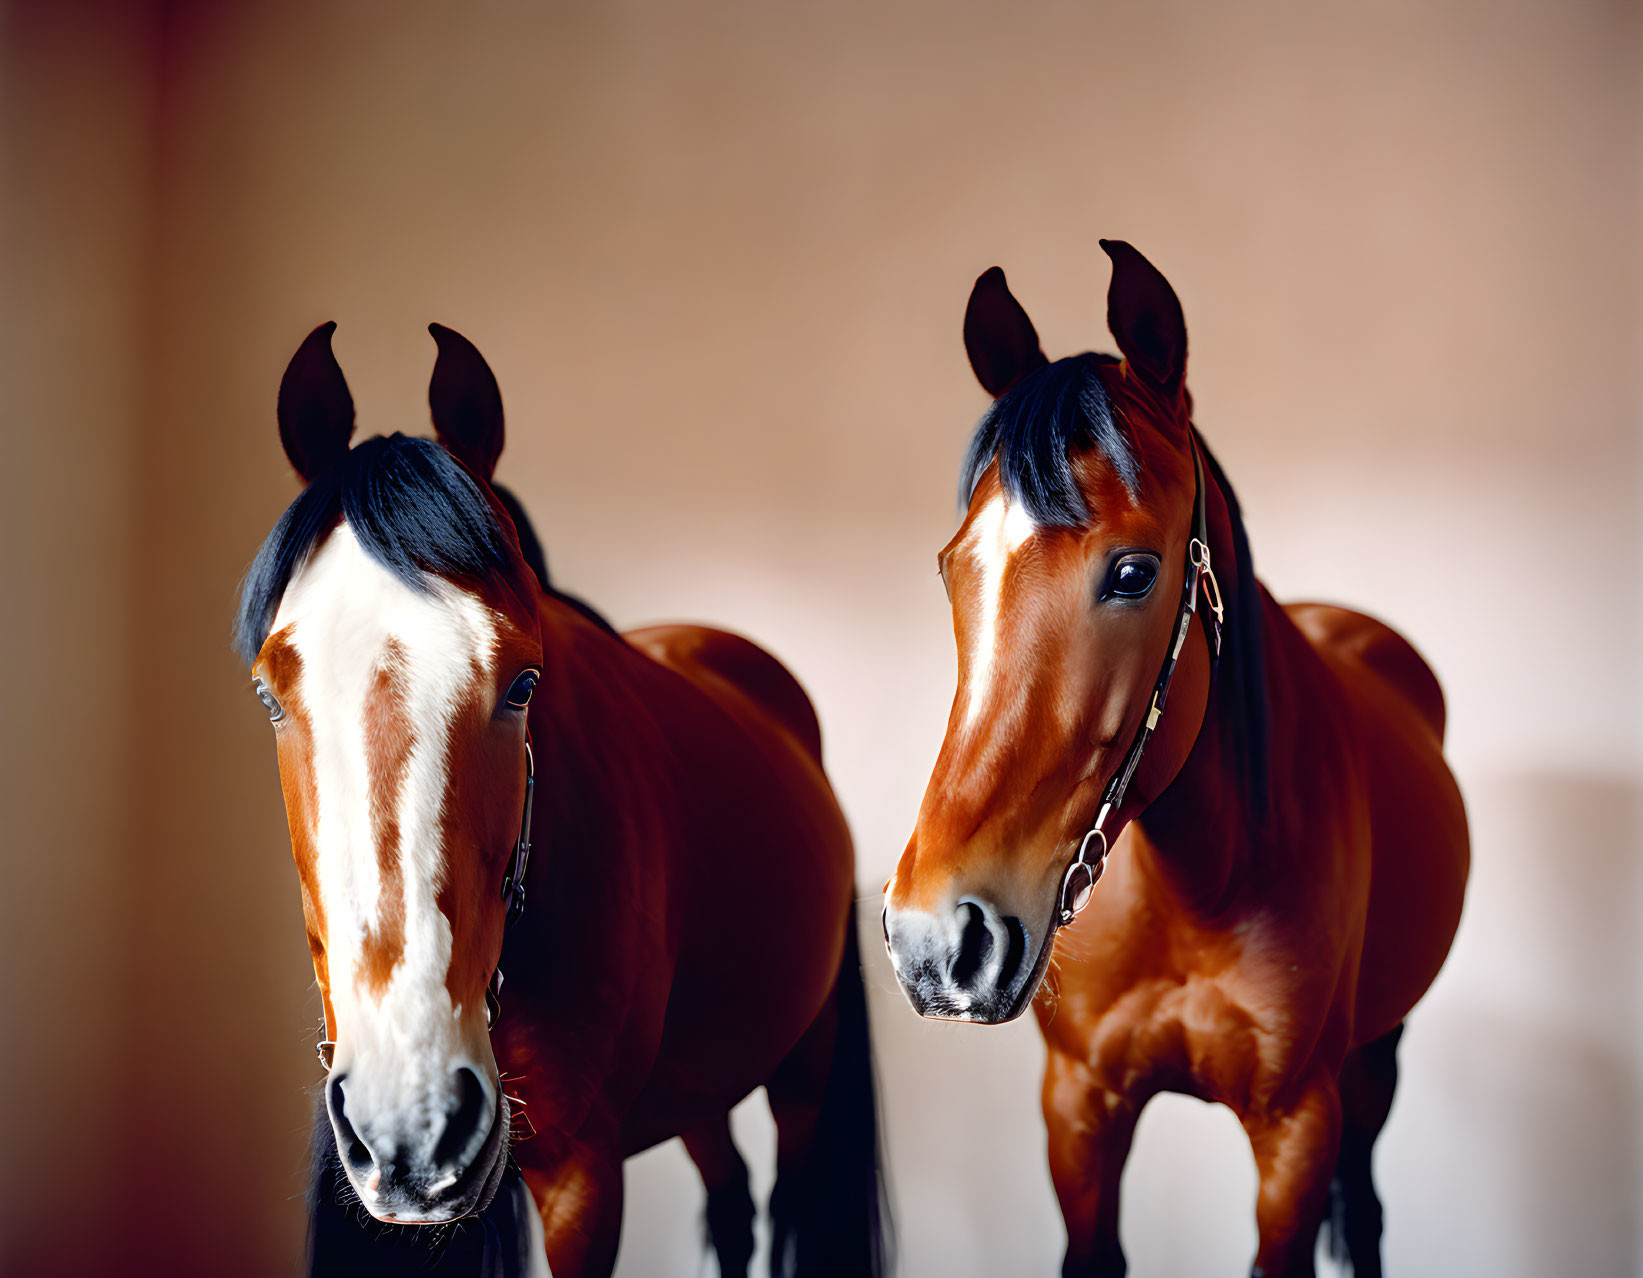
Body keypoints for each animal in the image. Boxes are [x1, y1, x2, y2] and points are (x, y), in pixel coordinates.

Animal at [234, 321, 887, 1274]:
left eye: (522, 684)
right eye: (269, 693)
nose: (410, 1120)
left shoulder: (585, 1181)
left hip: (802, 1065)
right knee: (730, 1199)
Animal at [893, 241, 1472, 1274]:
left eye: (1133, 572)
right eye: (952, 566)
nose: (933, 941)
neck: (1199, 883)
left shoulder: (1296, 1132)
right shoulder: (1079, 1108)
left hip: (1379, 1054)